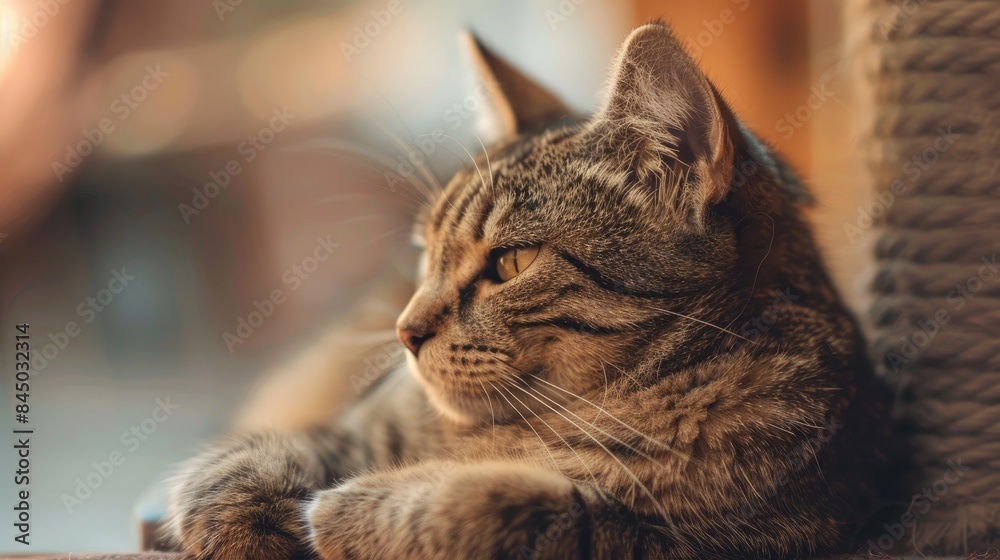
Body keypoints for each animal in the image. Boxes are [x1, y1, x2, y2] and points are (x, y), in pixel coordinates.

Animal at [164, 23, 892, 560]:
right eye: (427, 252)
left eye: (512, 262)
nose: (405, 332)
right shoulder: (352, 425)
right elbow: (249, 460)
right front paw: (244, 526)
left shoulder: (735, 538)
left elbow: (533, 512)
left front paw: (367, 507)